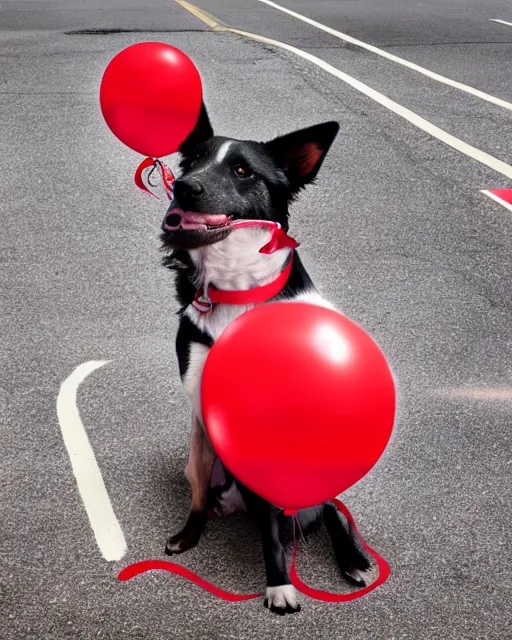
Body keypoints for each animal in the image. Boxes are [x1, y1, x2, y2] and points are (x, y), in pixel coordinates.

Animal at [159, 105, 368, 616]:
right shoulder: (204, 409)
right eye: (191, 160)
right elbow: (208, 500)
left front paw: (279, 586)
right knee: (204, 490)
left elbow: (276, 528)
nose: (184, 186)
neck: (235, 290)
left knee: (330, 509)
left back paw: (352, 559)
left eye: (242, 171)